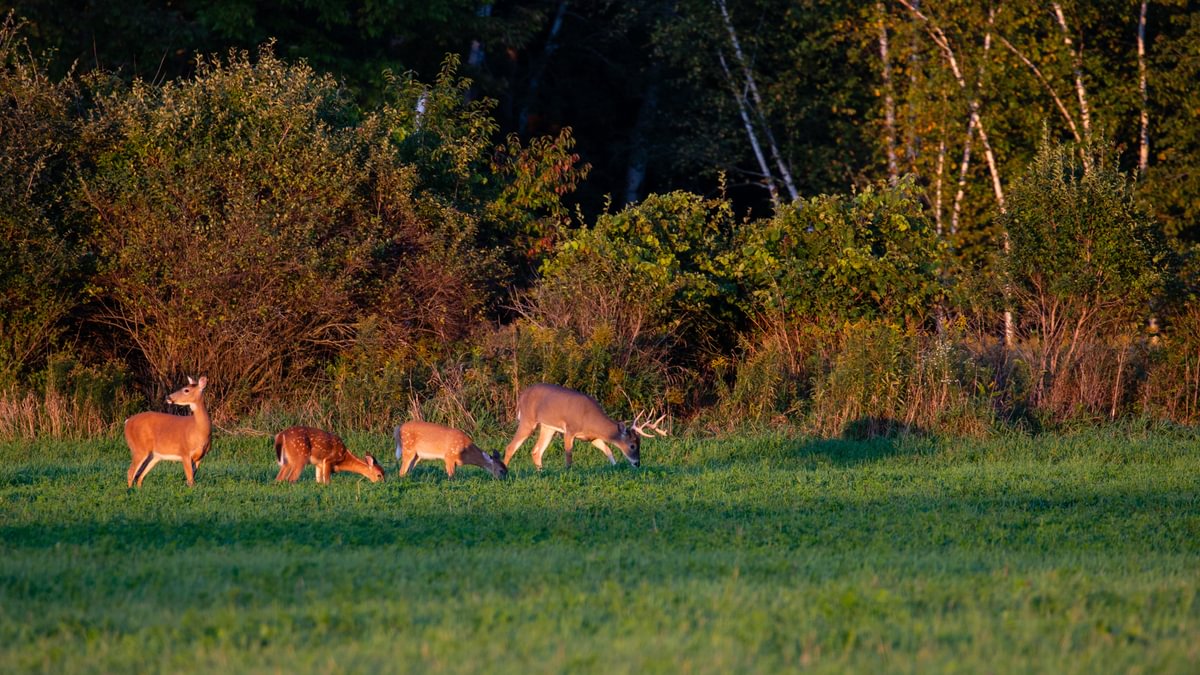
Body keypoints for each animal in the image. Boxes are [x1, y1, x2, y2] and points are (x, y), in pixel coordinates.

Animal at [503, 383, 668, 470]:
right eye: (632, 445)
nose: (637, 463)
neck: (589, 419)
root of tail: (521, 396)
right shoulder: (570, 430)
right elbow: (569, 455)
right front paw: (568, 471)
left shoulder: (592, 437)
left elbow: (608, 450)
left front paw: (615, 467)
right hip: (527, 420)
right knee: (511, 447)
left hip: (548, 427)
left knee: (536, 451)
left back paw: (541, 472)